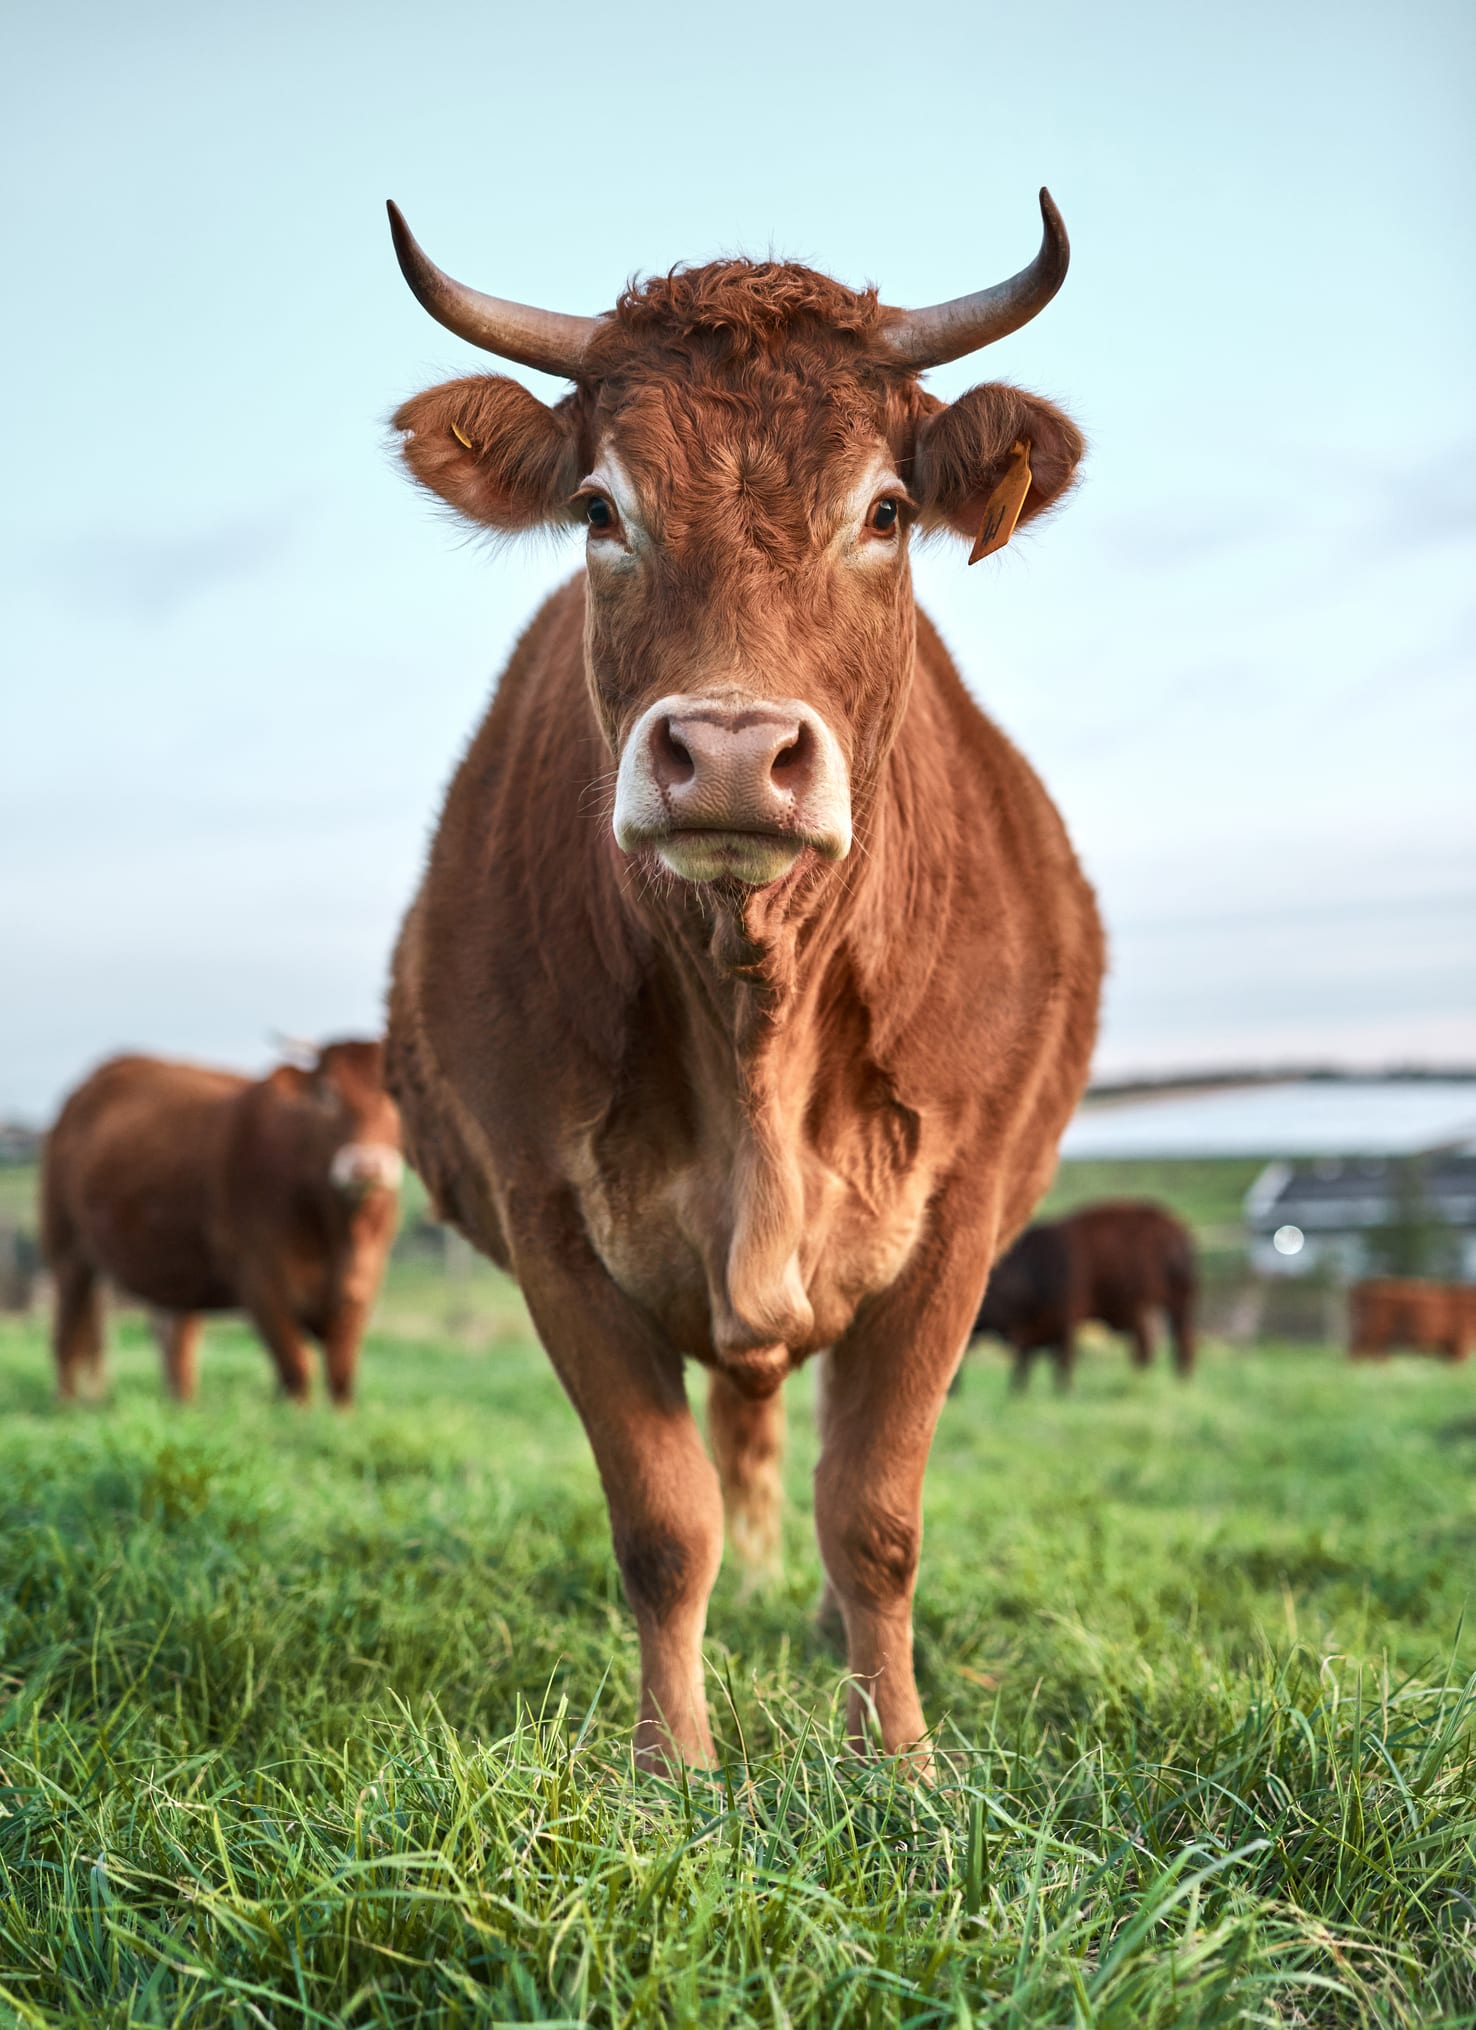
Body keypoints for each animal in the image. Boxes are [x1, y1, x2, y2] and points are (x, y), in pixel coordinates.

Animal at [41, 1039, 404, 1404]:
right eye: (327, 1094)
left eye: (394, 1096)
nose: (366, 1167)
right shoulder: (260, 1281)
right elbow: (296, 1369)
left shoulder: (361, 1287)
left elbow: (340, 1375)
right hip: (67, 1251)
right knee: (67, 1335)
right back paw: (66, 1405)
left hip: (173, 1271)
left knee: (172, 1339)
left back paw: (182, 1404)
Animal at [387, 193, 1104, 1778]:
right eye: (601, 510)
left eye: (885, 511)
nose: (725, 752)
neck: (752, 1002)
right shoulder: (547, 1214)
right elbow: (666, 1523)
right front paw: (672, 1766)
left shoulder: (958, 1220)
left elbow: (878, 1514)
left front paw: (897, 1760)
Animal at [970, 1193, 1201, 1388]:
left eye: (992, 1297)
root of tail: (1180, 1232)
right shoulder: (1030, 1332)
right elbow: (1025, 1364)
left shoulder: (1065, 1321)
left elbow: (1062, 1361)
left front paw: (1063, 1390)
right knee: (1156, 1347)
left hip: (1173, 1304)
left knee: (1175, 1343)